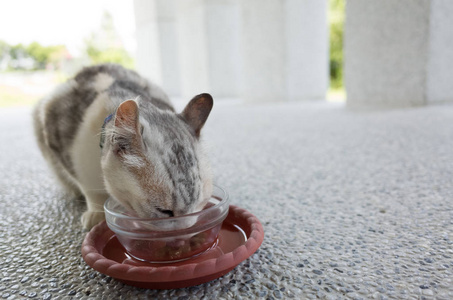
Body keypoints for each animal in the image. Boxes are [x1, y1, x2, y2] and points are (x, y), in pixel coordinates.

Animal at [33, 62, 214, 227]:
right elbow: (89, 189)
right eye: (164, 211)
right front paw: (96, 213)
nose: (187, 229)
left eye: (201, 203)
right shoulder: (57, 132)